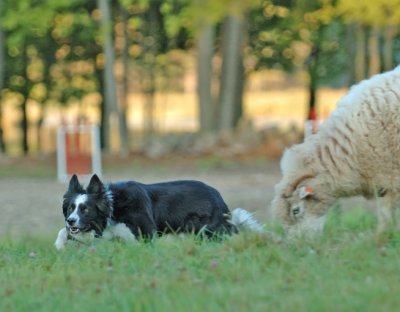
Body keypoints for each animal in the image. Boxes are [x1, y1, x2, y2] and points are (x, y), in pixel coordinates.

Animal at [54, 173, 264, 249]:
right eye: (71, 208)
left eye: (85, 209)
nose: (70, 220)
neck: (114, 208)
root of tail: (218, 196)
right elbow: (64, 232)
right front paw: (60, 244)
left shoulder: (145, 231)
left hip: (209, 229)